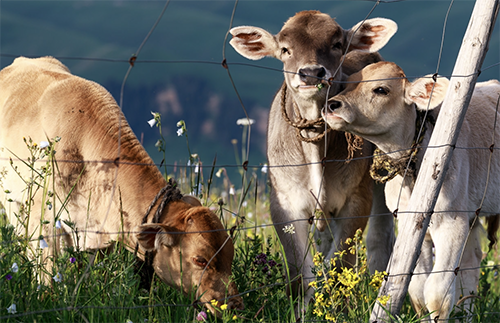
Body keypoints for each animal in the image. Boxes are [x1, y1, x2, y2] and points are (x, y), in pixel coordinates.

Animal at [229, 9, 398, 304]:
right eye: (285, 49)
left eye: (337, 44)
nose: (310, 73)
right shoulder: (283, 203)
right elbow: (300, 274)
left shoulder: (356, 198)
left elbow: (338, 267)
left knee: (379, 238)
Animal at [322, 60, 500, 322]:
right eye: (347, 84)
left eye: (381, 89)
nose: (332, 104)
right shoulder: (410, 223)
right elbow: (417, 290)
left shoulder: (451, 222)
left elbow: (437, 293)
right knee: (470, 265)